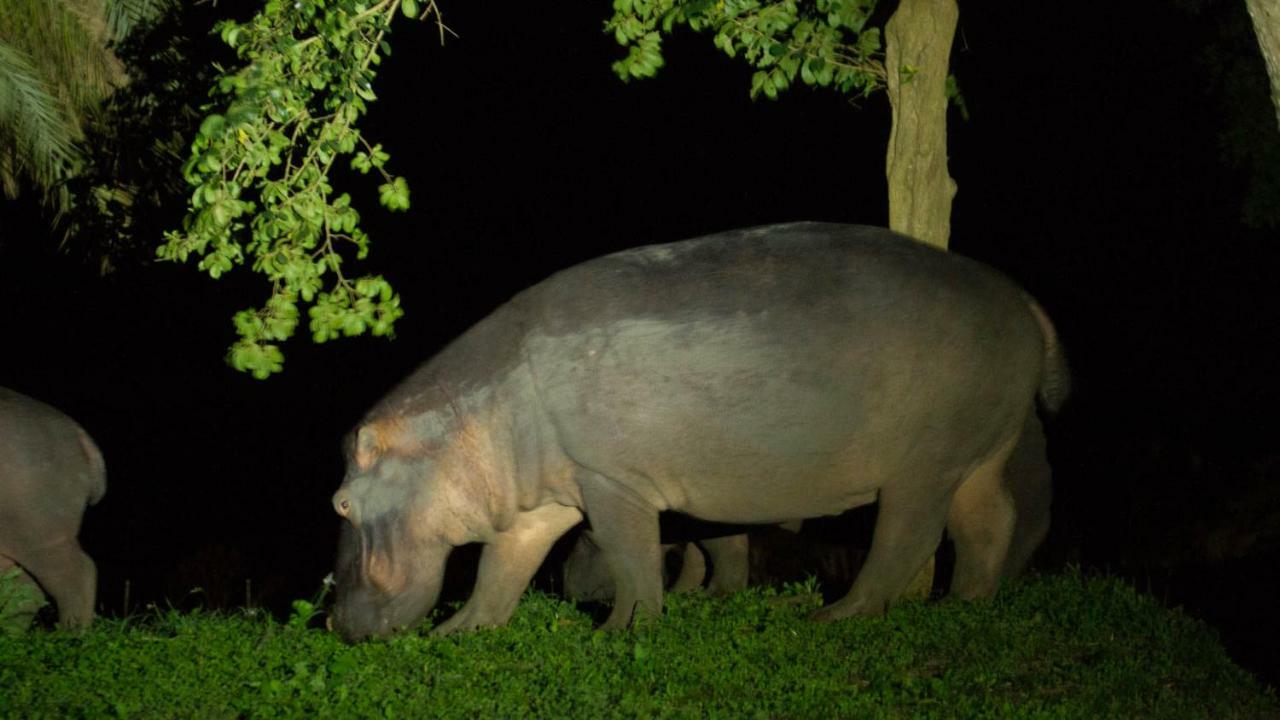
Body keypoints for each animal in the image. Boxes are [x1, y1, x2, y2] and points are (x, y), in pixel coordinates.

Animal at [330, 220, 1070, 638]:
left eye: (339, 502)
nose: (330, 617)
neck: (465, 422)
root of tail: (1024, 298)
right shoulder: (535, 504)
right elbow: (499, 569)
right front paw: (459, 632)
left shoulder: (611, 481)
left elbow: (630, 556)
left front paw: (620, 633)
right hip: (977, 452)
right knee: (989, 524)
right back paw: (965, 607)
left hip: (925, 464)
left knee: (909, 538)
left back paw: (835, 617)